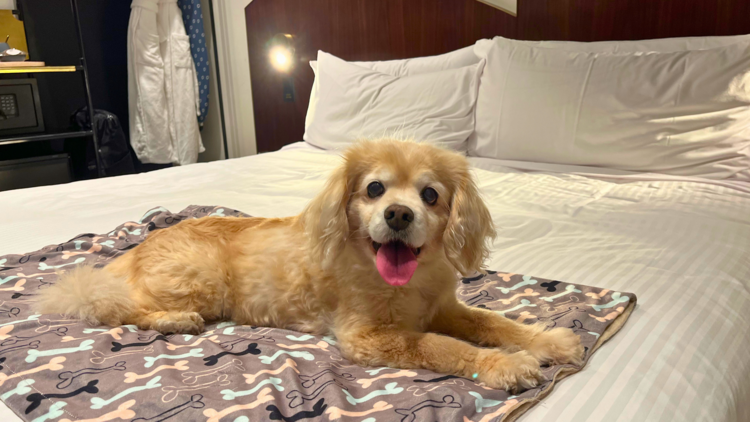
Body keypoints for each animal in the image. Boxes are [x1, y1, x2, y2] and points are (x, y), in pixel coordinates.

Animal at [38, 139, 584, 392]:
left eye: (430, 195)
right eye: (374, 189)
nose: (398, 214)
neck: (408, 285)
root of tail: (135, 249)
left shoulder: (443, 308)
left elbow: (494, 321)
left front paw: (546, 342)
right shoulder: (369, 337)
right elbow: (443, 347)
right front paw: (505, 365)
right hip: (199, 280)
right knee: (113, 307)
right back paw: (174, 320)